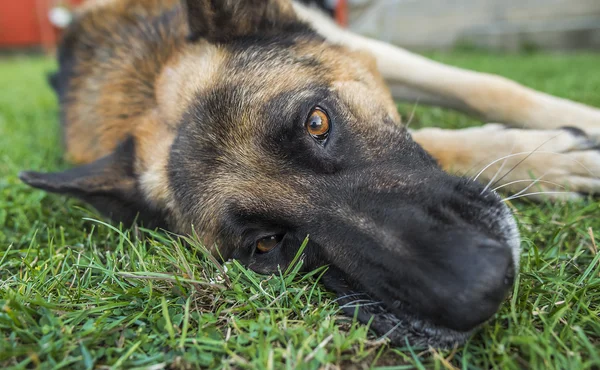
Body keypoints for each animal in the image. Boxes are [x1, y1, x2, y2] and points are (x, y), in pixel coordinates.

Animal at [17, 0, 600, 348]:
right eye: (266, 244)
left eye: (317, 122)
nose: (482, 287)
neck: (149, 74)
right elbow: (438, 137)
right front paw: (543, 157)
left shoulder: (350, 42)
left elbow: (488, 85)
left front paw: (572, 129)